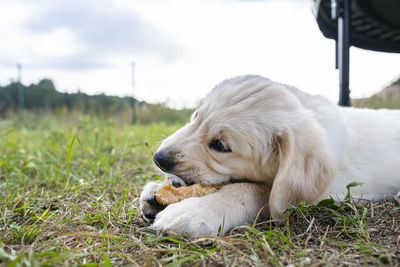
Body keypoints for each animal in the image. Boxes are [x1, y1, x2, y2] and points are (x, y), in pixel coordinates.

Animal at [140, 75, 400, 237]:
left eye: (220, 146)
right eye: (195, 116)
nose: (158, 159)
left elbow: (250, 189)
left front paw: (195, 210)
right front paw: (160, 190)